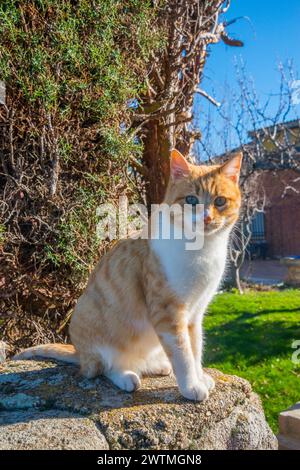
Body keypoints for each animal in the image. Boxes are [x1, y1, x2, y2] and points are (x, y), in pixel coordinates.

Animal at [14, 150, 244, 400]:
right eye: (191, 200)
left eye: (220, 201)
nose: (206, 218)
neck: (202, 250)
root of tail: (79, 353)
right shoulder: (168, 313)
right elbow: (183, 354)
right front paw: (191, 386)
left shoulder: (195, 314)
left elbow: (195, 348)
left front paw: (200, 376)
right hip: (90, 322)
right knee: (101, 368)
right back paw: (126, 376)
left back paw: (158, 365)